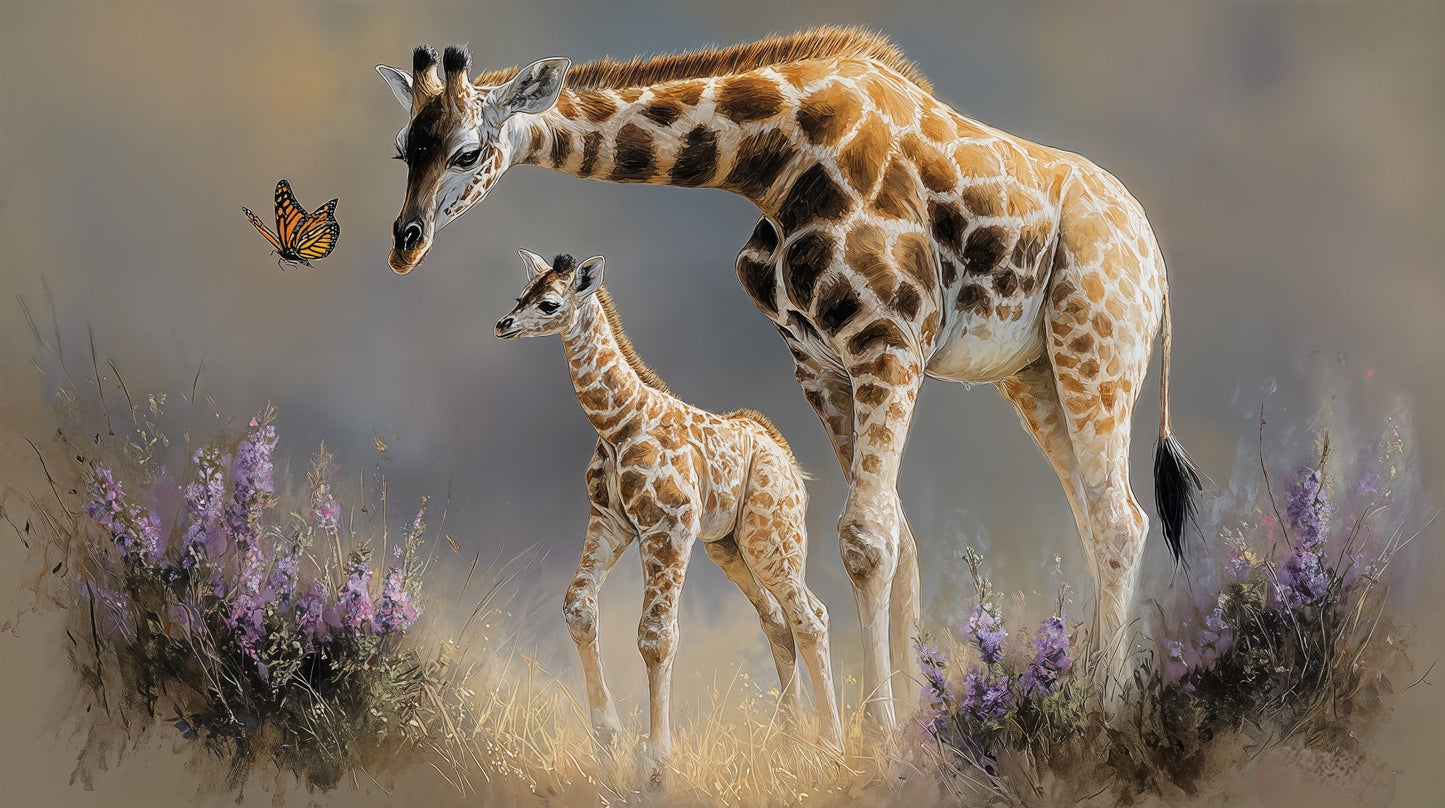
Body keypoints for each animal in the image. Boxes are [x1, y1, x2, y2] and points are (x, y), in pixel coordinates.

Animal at [494, 250, 844, 774]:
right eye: (521, 294)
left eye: (549, 303)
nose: (504, 324)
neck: (619, 423)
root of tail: (785, 457)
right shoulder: (609, 521)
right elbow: (578, 608)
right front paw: (608, 738)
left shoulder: (668, 525)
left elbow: (656, 635)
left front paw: (656, 761)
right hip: (728, 546)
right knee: (778, 622)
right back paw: (791, 744)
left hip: (770, 537)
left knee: (811, 615)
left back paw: (832, 747)